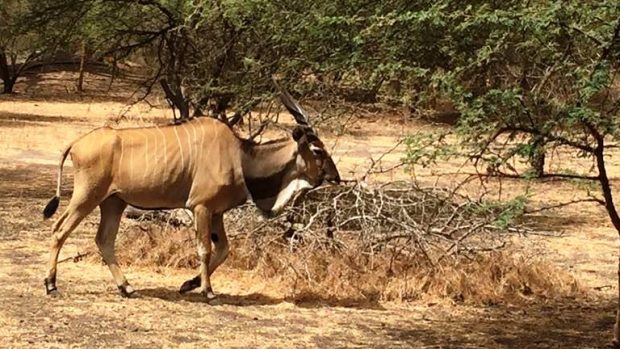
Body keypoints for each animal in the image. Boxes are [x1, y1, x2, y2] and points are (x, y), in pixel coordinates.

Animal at [41, 85, 342, 300]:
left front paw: (189, 283)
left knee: (104, 240)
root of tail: (76, 143)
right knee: (59, 229)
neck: (240, 157)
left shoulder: (216, 212)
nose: (336, 177)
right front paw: (207, 291)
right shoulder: (201, 208)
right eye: (317, 150)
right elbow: (205, 249)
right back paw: (51, 284)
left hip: (113, 202)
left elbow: (223, 249)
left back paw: (126, 287)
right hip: (88, 196)